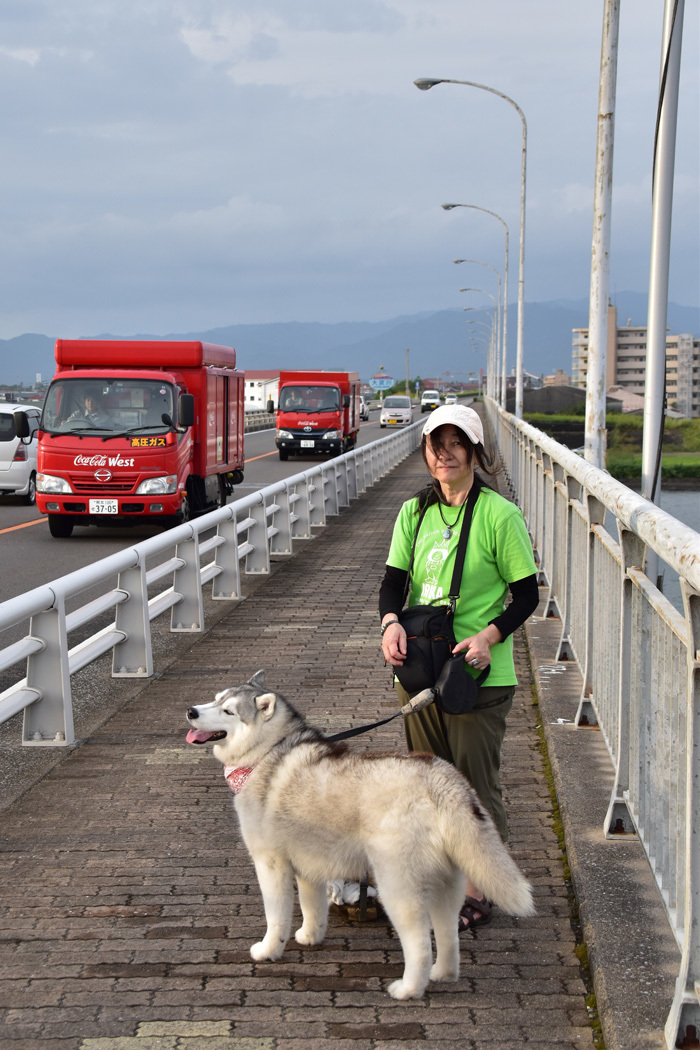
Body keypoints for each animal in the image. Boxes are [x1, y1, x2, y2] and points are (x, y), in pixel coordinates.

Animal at [183, 672, 533, 999]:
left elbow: (276, 917)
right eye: (216, 699)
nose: (191, 711)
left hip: (397, 888)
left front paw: (269, 950)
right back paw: (443, 974)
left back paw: (409, 989)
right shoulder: (308, 865)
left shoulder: (271, 863)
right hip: (447, 884)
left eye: (228, 711)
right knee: (448, 933)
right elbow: (312, 907)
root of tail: (440, 776)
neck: (267, 752)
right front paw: (310, 936)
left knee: (420, 943)